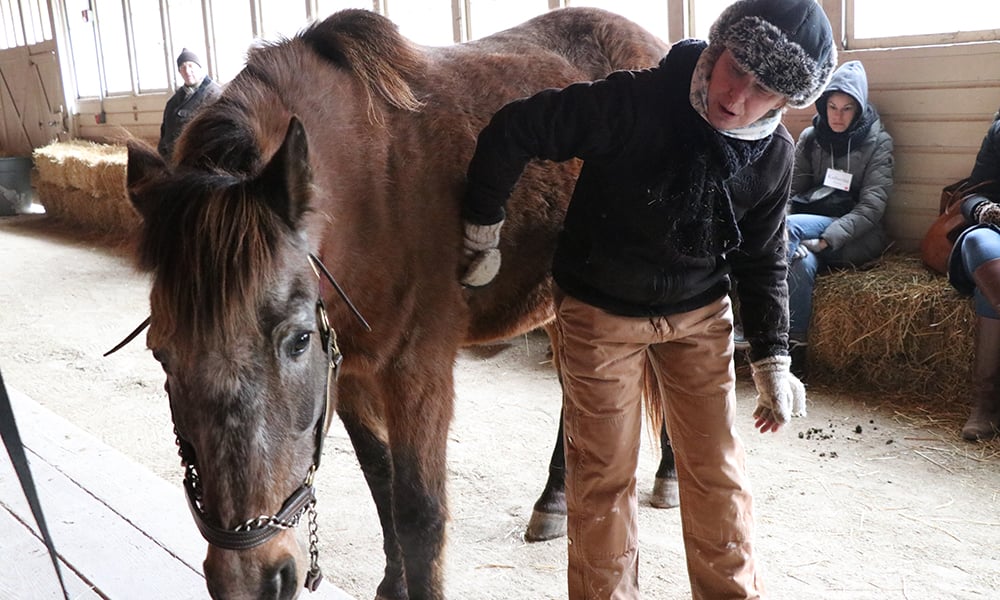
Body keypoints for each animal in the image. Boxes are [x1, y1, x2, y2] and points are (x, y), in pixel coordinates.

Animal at [125, 5, 668, 600]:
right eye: (161, 354)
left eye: (298, 340)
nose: (251, 581)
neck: (372, 193)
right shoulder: (351, 373)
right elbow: (380, 482)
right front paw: (392, 582)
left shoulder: (417, 372)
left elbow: (419, 510)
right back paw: (554, 501)